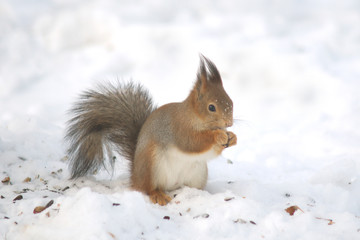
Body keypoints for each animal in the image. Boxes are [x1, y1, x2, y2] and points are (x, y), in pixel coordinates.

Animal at [66, 55, 238, 205]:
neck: (194, 116)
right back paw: (158, 195)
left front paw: (232, 137)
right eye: (211, 107)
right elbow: (192, 142)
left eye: (231, 101)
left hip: (198, 173)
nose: (229, 123)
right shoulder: (179, 128)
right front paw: (218, 136)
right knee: (147, 189)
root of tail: (135, 175)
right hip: (151, 163)